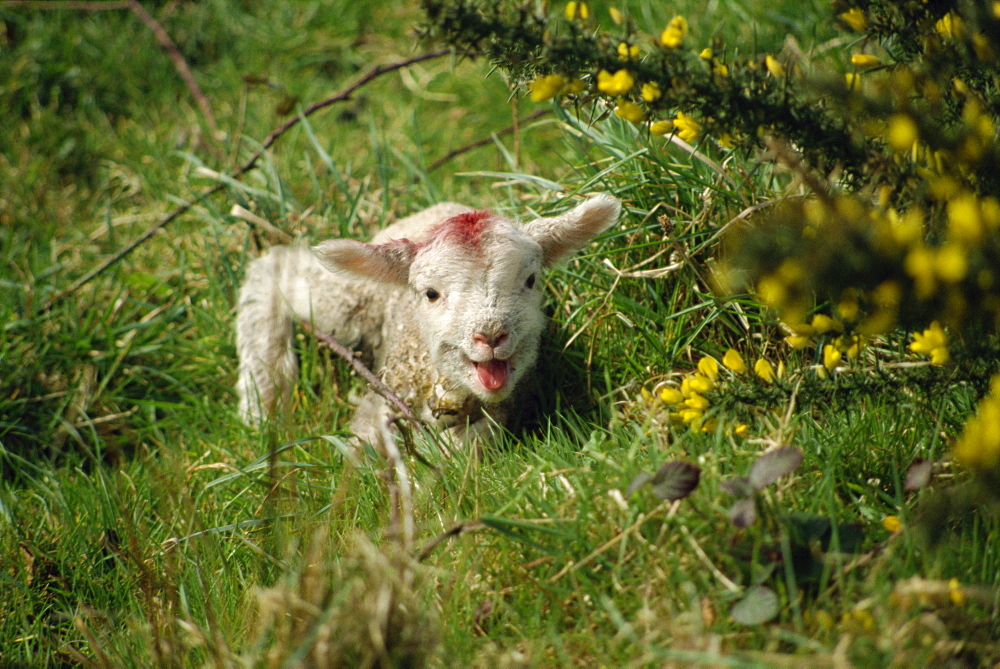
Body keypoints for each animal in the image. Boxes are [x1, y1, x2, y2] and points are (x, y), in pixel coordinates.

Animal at [237, 193, 620, 448]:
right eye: (431, 294)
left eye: (530, 280)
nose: (491, 336)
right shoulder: (380, 407)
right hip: (347, 300)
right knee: (274, 269)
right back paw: (262, 399)